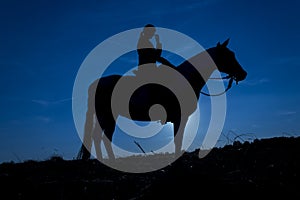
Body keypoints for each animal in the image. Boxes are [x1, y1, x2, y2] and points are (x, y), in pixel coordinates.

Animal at [77, 38, 246, 161]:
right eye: (228, 56)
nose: (244, 74)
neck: (186, 78)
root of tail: (97, 83)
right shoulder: (180, 117)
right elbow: (178, 140)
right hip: (106, 116)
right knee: (100, 137)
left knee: (100, 138)